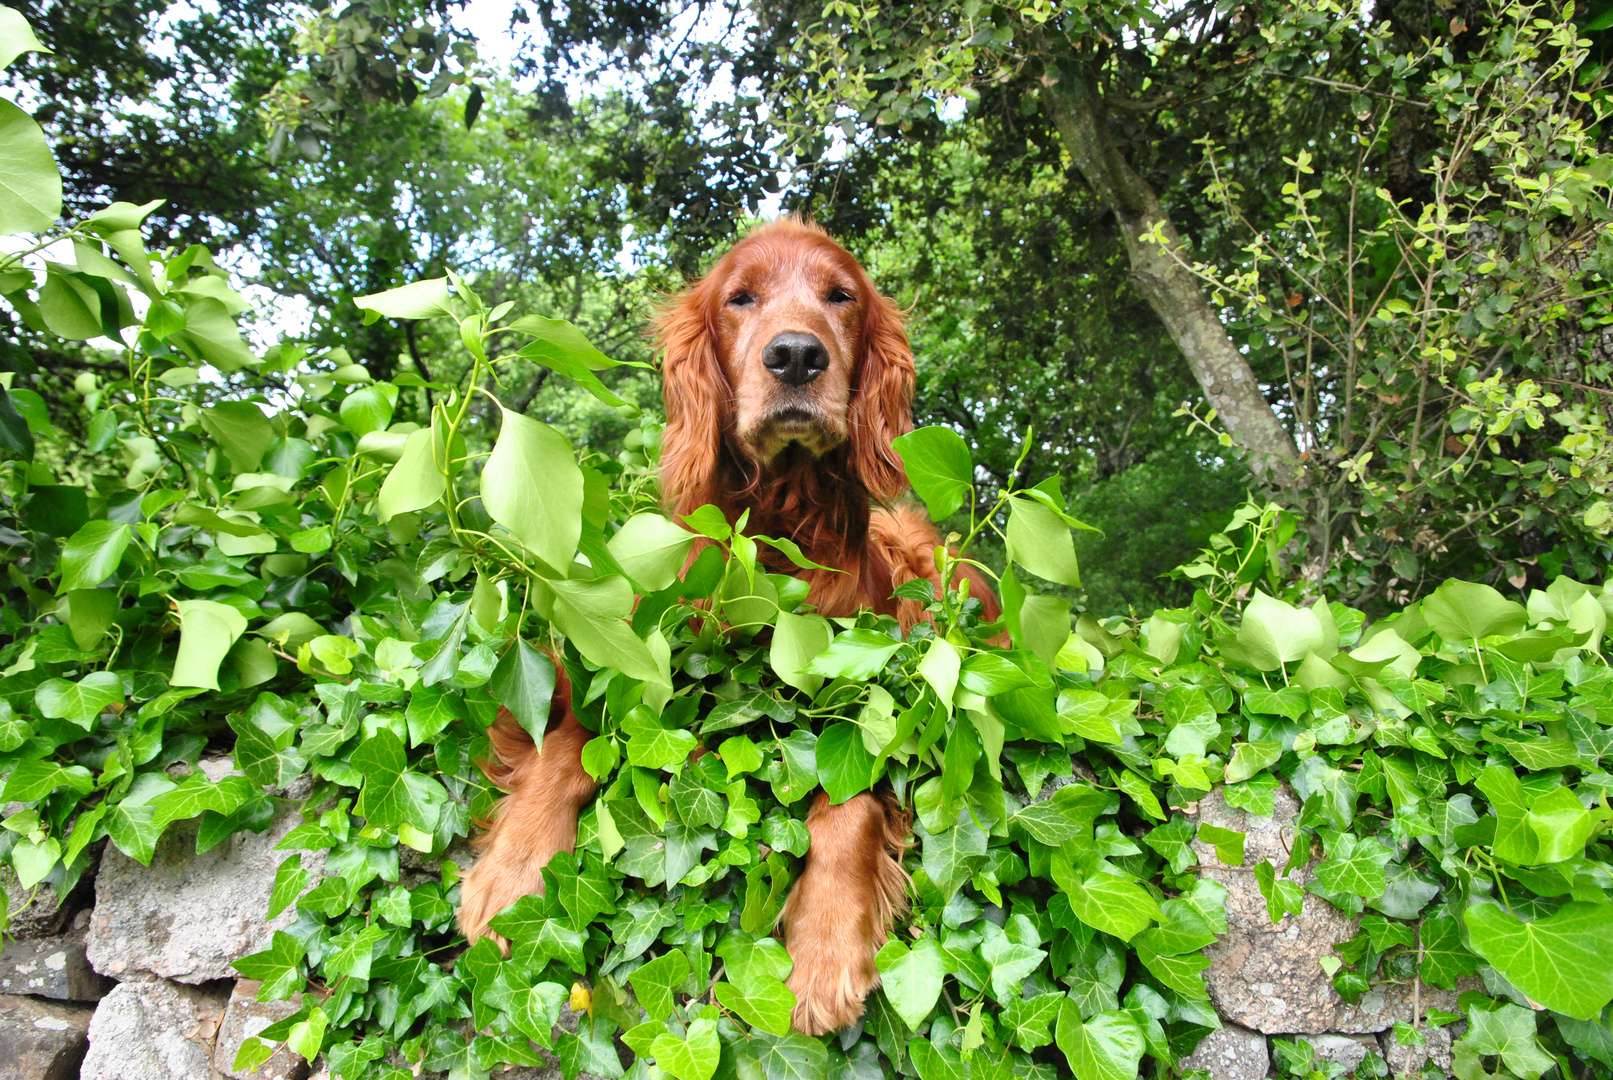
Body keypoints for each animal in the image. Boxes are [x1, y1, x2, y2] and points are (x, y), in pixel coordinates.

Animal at [454, 219, 1000, 1038]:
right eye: (740, 298)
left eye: (841, 295)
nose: (797, 355)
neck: (774, 535)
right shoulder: (630, 669)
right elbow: (567, 743)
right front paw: (508, 874)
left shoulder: (868, 700)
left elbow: (847, 797)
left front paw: (825, 946)